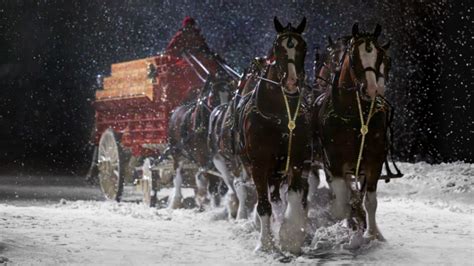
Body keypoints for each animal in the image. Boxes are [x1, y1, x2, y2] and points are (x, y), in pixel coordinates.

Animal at [239, 16, 310, 254]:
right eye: (278, 48)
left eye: (303, 47)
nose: (291, 81)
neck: (280, 113)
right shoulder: (259, 164)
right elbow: (263, 205)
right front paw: (265, 243)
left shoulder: (297, 159)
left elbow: (295, 194)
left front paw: (291, 236)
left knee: (278, 197)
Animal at [312, 23, 390, 241]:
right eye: (355, 57)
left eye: (381, 56)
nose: (372, 89)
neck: (355, 117)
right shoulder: (334, 163)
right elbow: (342, 203)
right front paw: (352, 219)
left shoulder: (374, 162)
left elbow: (370, 201)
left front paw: (373, 233)